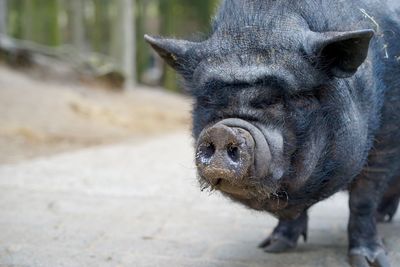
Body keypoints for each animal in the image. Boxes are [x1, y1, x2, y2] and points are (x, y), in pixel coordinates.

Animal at [146, 1, 400, 266]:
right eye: (208, 99)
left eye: (279, 99)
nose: (223, 131)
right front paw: (272, 247)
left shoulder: (387, 140)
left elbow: (363, 200)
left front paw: (371, 261)